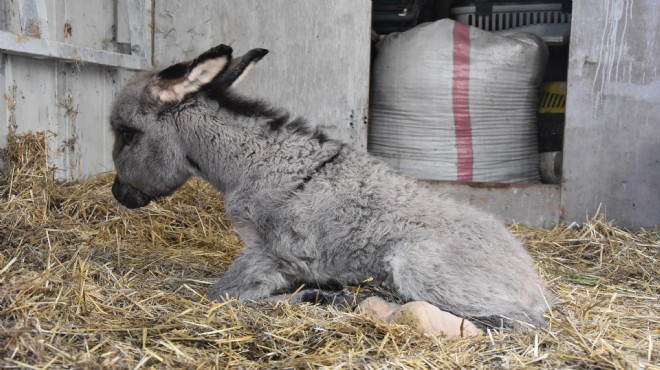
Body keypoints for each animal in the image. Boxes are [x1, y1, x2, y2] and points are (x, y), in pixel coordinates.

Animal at [112, 44, 552, 330]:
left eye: (127, 133)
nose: (119, 195)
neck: (252, 165)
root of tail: (533, 280)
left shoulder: (274, 252)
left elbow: (222, 295)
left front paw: (313, 296)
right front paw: (321, 292)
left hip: (419, 265)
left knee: (511, 323)